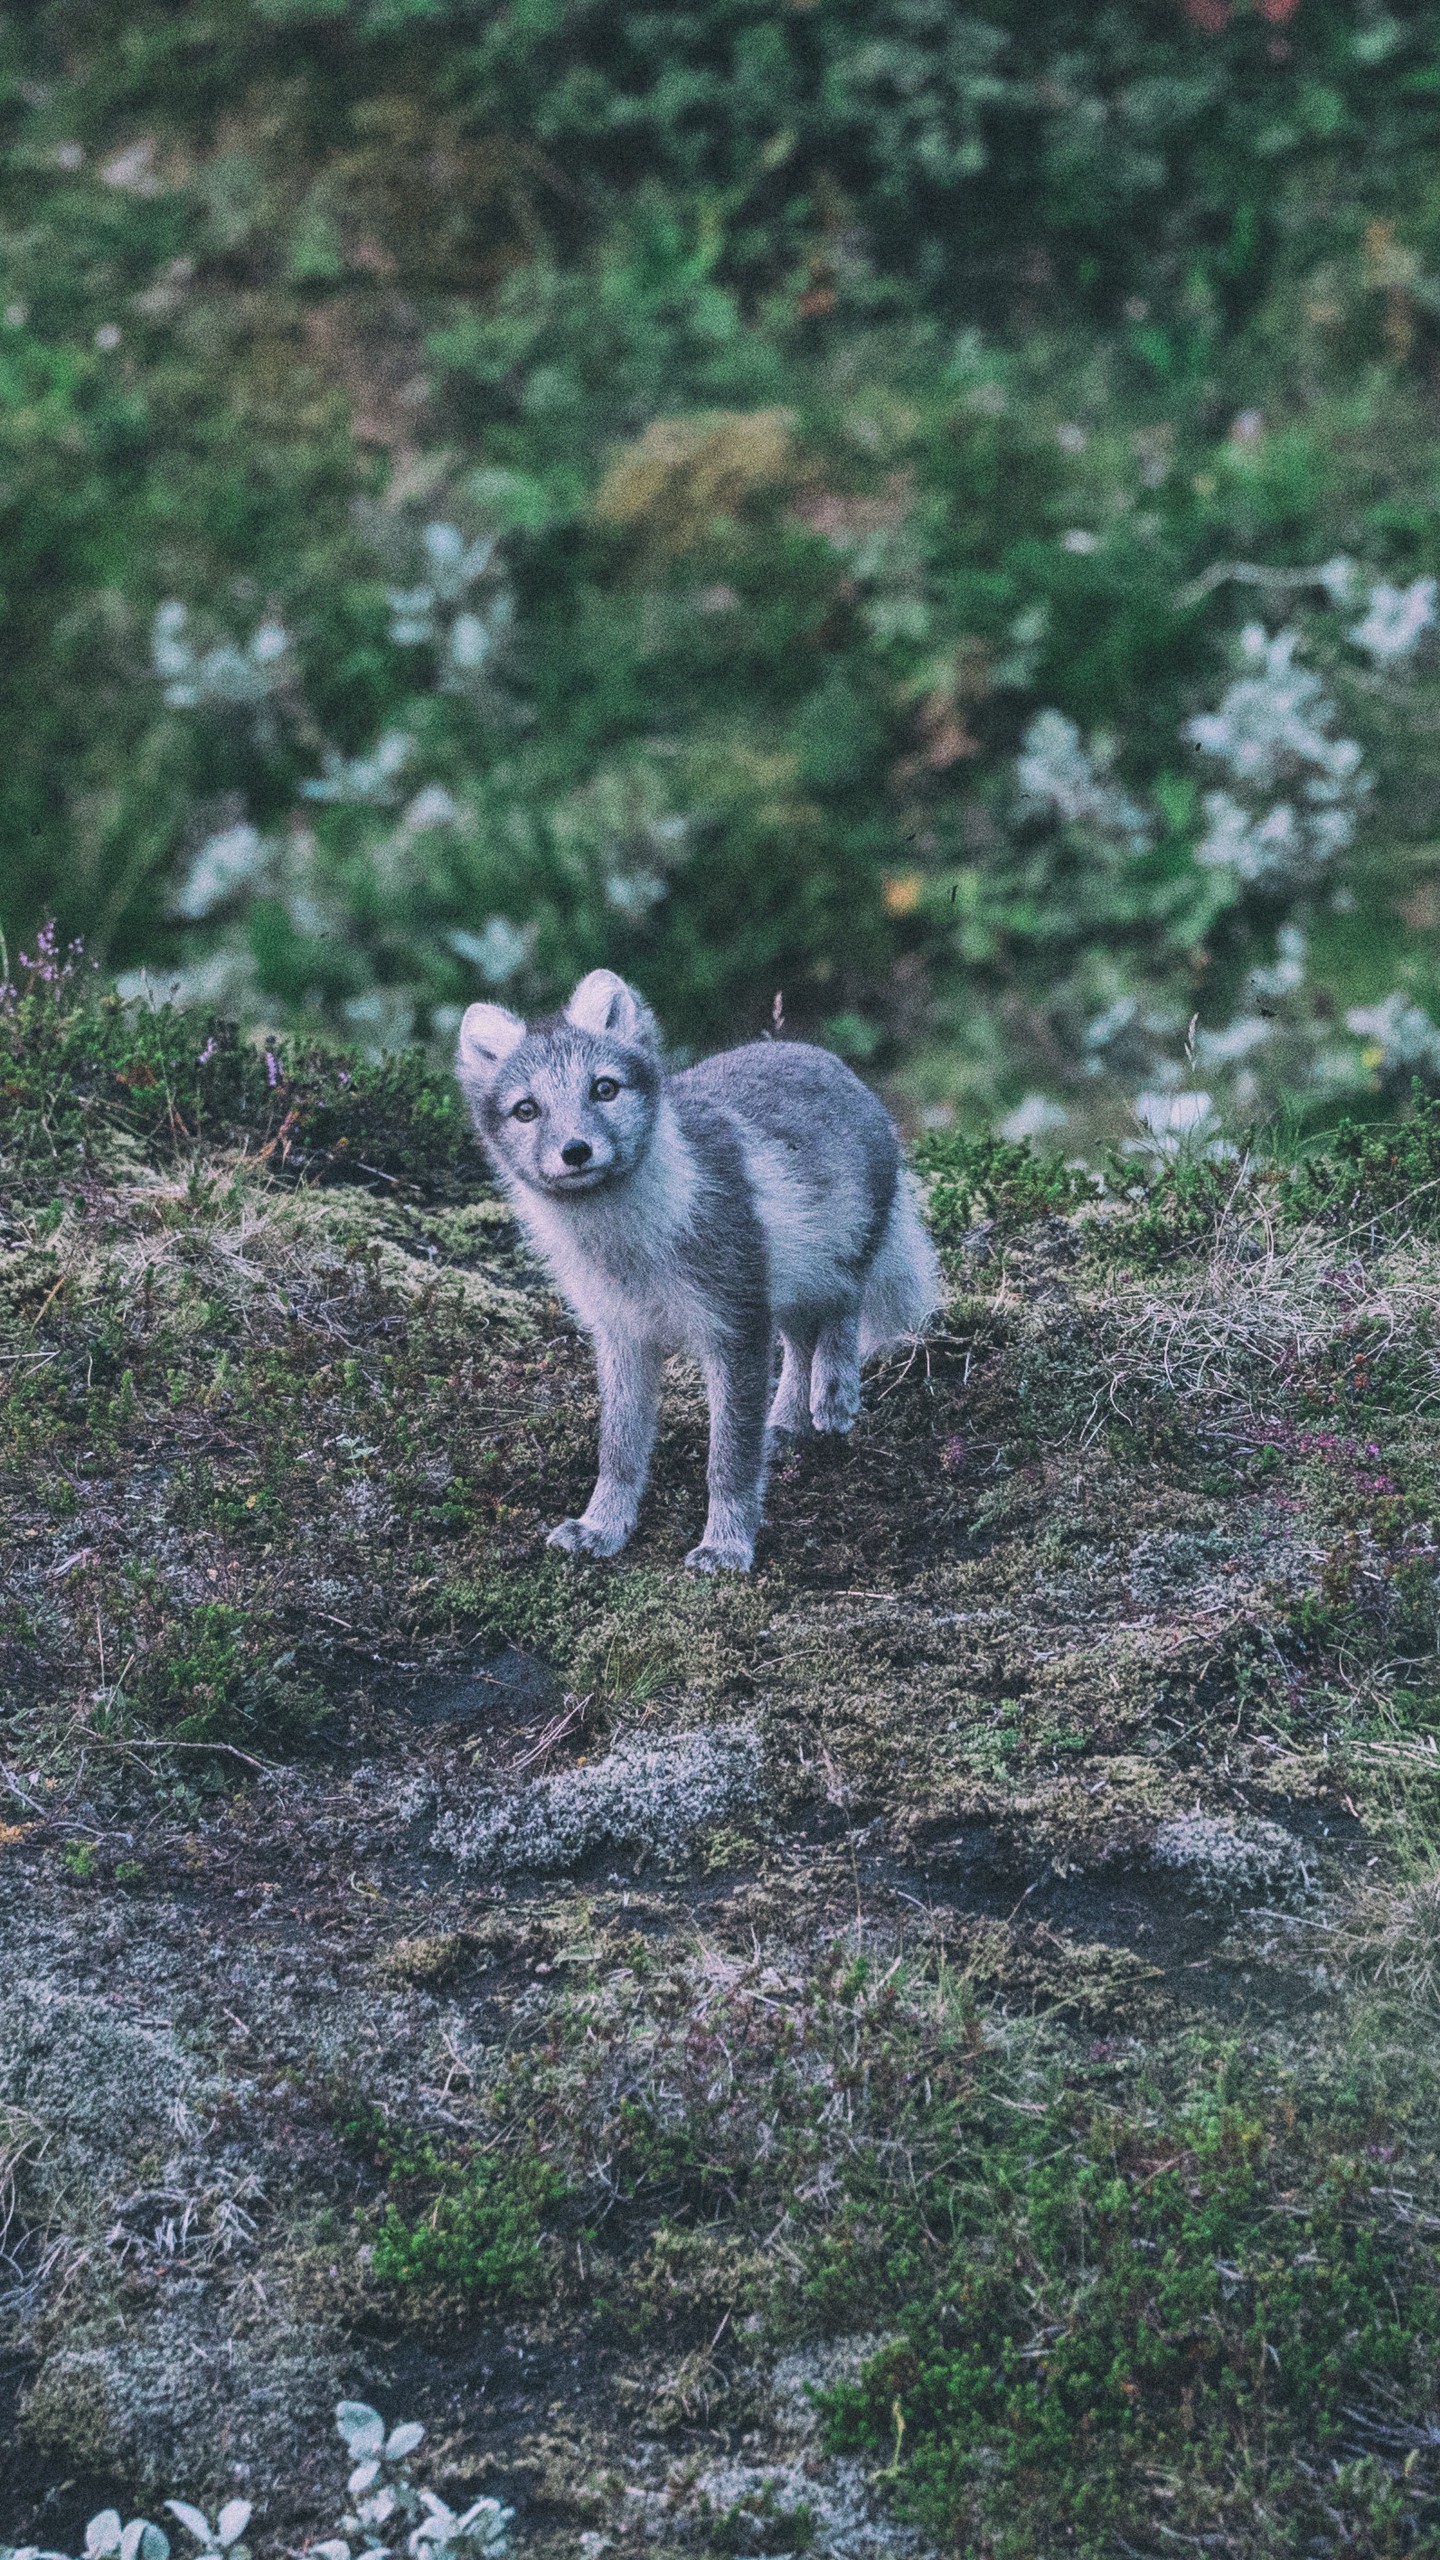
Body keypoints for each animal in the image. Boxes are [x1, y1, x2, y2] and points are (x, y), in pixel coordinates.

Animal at [453, 967, 937, 1566]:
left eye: (603, 1088)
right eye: (526, 1110)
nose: (576, 1150)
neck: (629, 1250)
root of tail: (823, 1056)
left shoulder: (734, 1325)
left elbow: (729, 1459)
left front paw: (726, 1545)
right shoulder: (621, 1334)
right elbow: (619, 1451)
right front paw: (601, 1527)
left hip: (836, 1250)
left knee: (844, 1303)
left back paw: (834, 1391)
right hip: (782, 1285)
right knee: (800, 1343)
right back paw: (784, 1424)